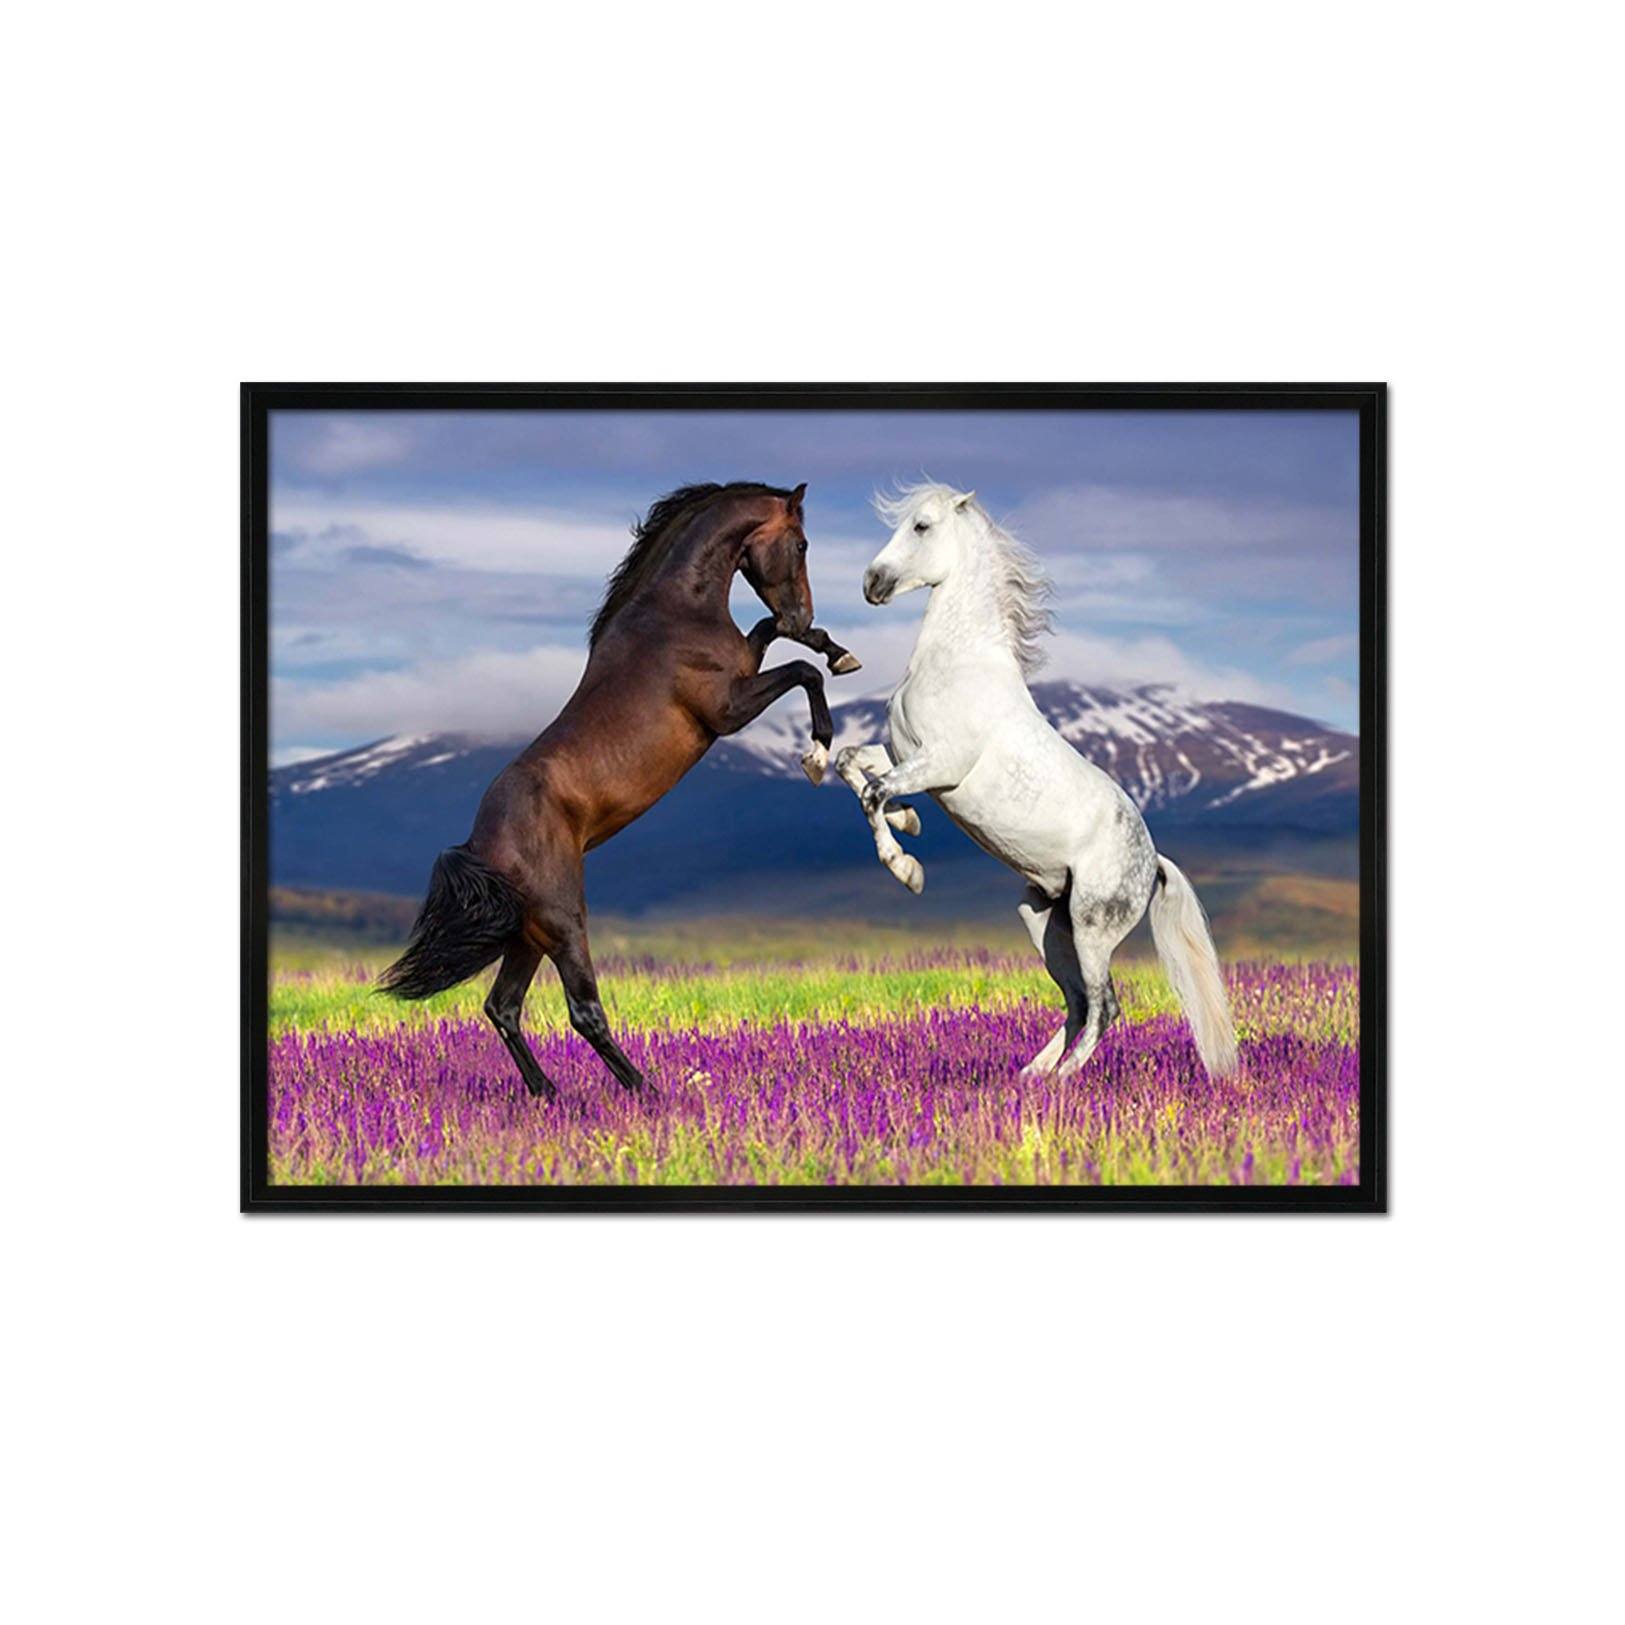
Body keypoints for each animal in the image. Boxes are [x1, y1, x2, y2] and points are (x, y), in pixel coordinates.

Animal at [381, 480, 860, 1101]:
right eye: (801, 544)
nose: (804, 611)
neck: (676, 613)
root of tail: (479, 845)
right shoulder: (727, 709)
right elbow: (804, 672)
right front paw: (817, 753)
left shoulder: (745, 665)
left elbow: (776, 637)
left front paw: (837, 649)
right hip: (564, 921)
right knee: (582, 1010)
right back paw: (647, 1090)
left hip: (529, 933)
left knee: (503, 1007)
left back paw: (548, 1094)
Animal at [833, 481, 1237, 1080]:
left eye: (922, 526)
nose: (872, 583)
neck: (959, 662)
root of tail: (1153, 862)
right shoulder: (907, 754)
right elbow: (849, 763)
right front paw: (910, 824)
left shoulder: (941, 764)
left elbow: (871, 792)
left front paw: (908, 870)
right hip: (1043, 920)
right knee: (1076, 1002)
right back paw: (1032, 1076)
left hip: (1093, 928)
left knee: (1105, 1005)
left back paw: (1065, 1079)